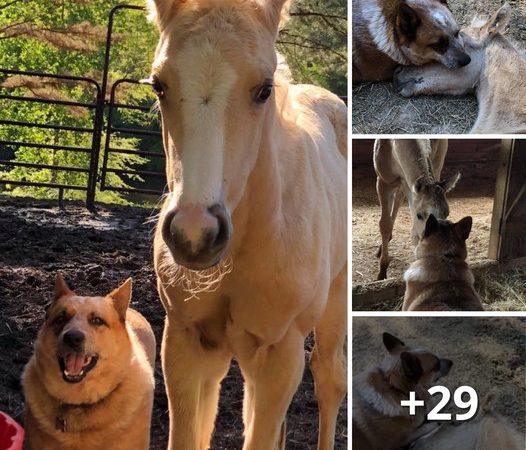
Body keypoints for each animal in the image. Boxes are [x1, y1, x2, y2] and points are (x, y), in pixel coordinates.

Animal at [146, 0, 348, 450]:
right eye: (159, 85)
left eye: (264, 90)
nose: (195, 234)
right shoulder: (185, 342)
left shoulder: (281, 352)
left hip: (334, 306)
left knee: (329, 378)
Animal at [376, 141, 462, 280]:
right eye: (419, 215)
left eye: (447, 213)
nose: (436, 250)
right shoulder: (383, 181)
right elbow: (384, 224)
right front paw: (382, 272)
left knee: (399, 197)